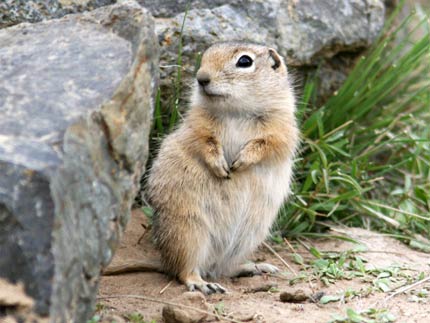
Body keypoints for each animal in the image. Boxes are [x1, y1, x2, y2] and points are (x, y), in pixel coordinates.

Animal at [146, 41, 298, 294]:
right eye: (205, 56)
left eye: (245, 61)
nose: (201, 78)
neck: (235, 111)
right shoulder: (196, 124)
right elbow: (203, 142)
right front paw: (222, 168)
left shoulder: (282, 128)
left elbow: (267, 144)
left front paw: (239, 163)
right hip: (189, 232)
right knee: (185, 271)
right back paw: (204, 284)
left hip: (246, 238)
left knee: (223, 269)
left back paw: (256, 267)